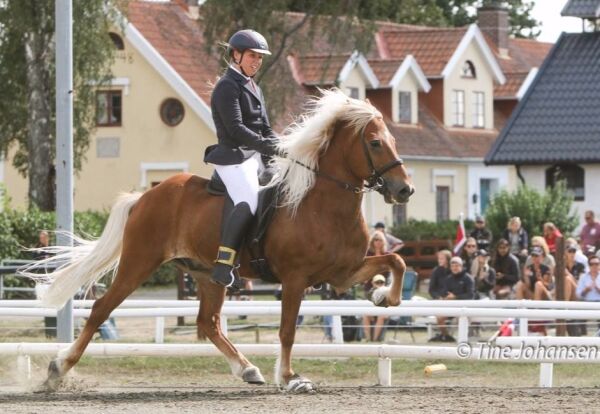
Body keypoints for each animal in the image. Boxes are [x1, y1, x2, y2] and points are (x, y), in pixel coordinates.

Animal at [25, 90, 414, 392]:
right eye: (376, 143)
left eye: (395, 140)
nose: (404, 190)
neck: (322, 203)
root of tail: (145, 197)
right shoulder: (295, 279)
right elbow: (287, 331)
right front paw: (291, 378)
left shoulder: (341, 273)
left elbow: (396, 261)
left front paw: (383, 296)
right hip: (139, 262)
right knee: (102, 309)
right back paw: (57, 371)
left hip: (207, 274)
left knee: (207, 323)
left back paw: (248, 369)